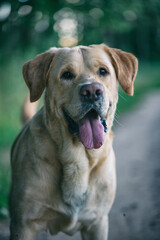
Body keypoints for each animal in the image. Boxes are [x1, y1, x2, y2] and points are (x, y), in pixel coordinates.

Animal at [9, 43, 138, 240]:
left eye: (103, 71)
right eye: (67, 74)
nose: (92, 92)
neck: (78, 158)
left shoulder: (97, 223)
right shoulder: (23, 225)